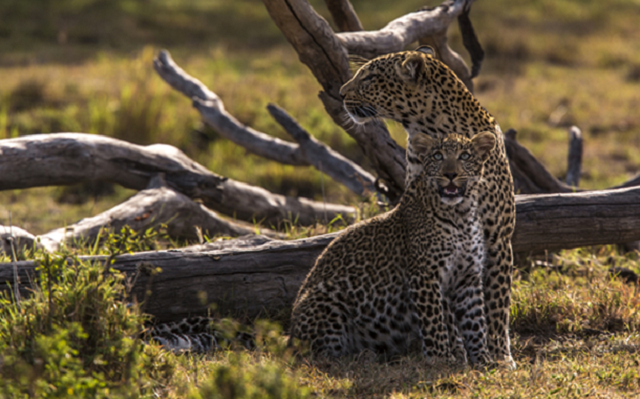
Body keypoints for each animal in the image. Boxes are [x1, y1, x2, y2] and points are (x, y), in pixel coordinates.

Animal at [290, 133, 496, 368]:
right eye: (437, 156)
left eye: (465, 156)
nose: (450, 174)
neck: (461, 215)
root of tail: (290, 334)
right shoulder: (425, 275)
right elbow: (435, 322)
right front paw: (441, 359)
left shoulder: (467, 277)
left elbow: (475, 322)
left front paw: (484, 361)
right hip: (327, 298)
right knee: (319, 356)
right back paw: (363, 358)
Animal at [340, 46, 516, 368]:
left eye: (369, 78)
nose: (340, 93)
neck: (430, 127)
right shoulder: (430, 237)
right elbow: (444, 309)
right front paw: (455, 354)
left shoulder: (498, 237)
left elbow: (498, 303)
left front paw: (500, 357)